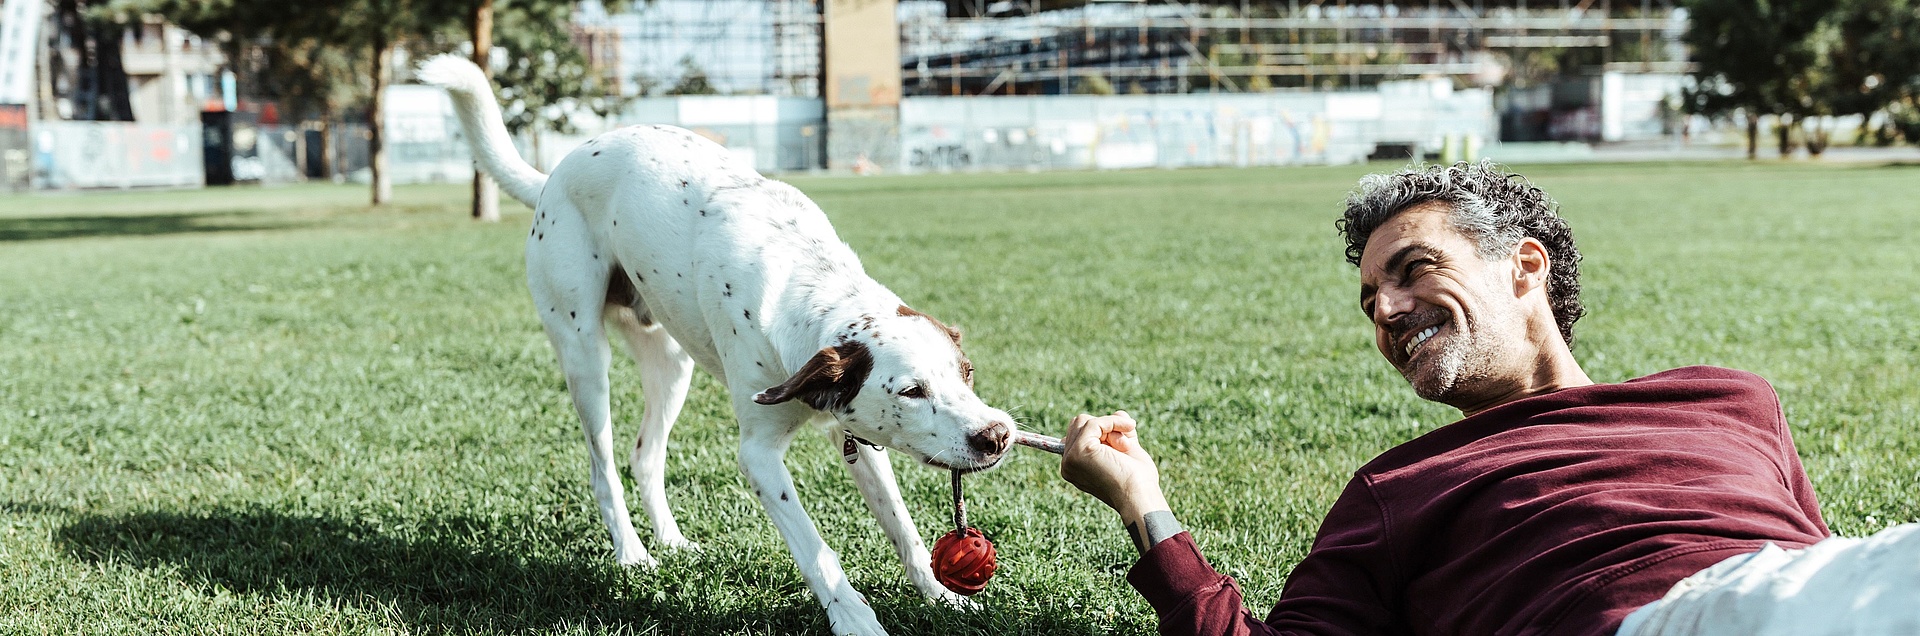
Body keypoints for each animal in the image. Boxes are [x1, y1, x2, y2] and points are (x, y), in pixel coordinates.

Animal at [420, 57, 1021, 634]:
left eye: (966, 371)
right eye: (912, 391)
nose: (996, 435)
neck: (809, 286)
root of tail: (554, 174)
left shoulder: (858, 438)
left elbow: (904, 528)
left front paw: (939, 595)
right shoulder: (758, 455)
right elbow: (816, 551)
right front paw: (855, 621)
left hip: (670, 362)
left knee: (645, 456)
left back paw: (669, 541)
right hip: (584, 354)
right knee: (604, 466)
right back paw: (632, 553)